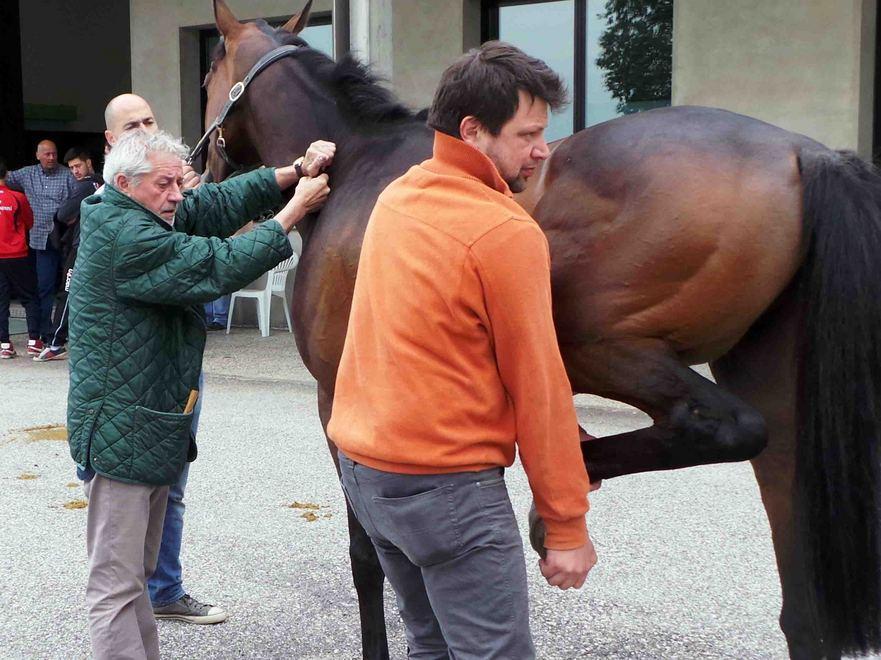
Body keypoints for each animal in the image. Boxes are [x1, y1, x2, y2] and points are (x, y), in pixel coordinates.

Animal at [202, 2, 881, 658]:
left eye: (208, 71)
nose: (202, 165)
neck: (360, 164)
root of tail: (803, 152)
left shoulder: (337, 404)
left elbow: (369, 559)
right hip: (773, 396)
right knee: (803, 612)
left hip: (599, 346)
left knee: (723, 424)